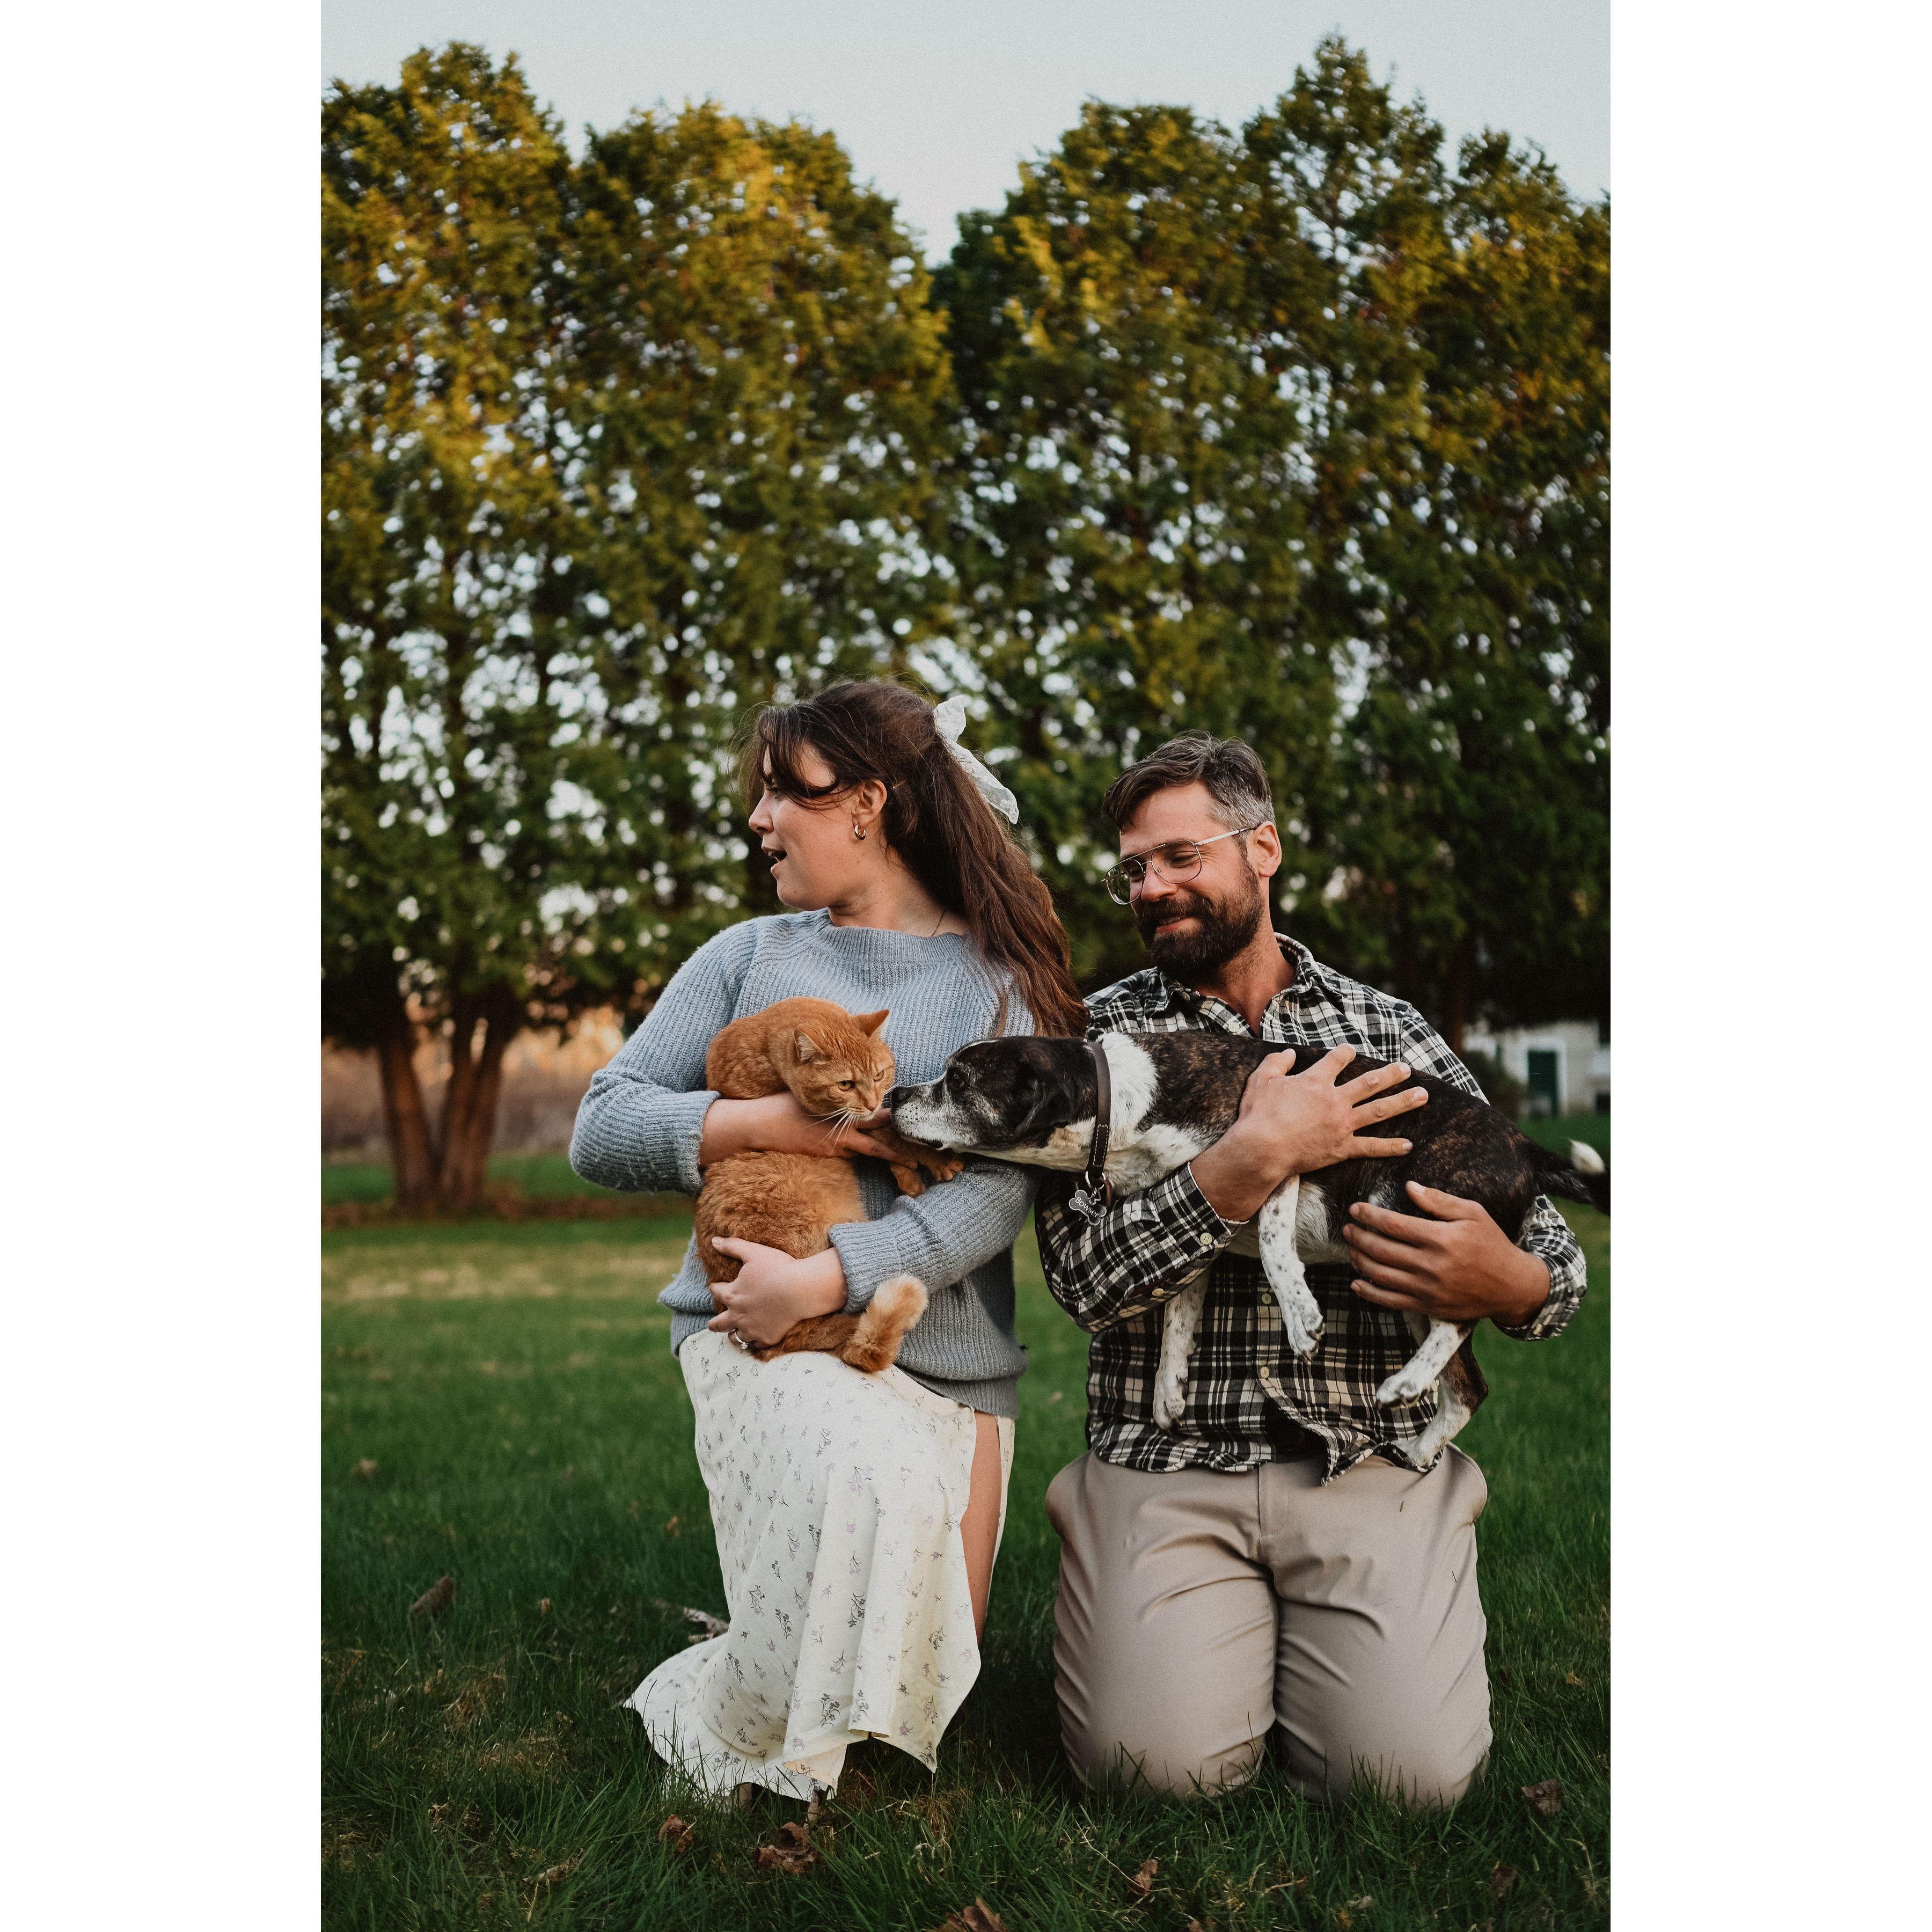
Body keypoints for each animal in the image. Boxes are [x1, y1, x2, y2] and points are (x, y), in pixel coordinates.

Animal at [694, 997, 962, 1373]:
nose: (871, 1102)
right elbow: (893, 1133)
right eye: (845, 1085)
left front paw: (909, 1176)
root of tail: (770, 1347)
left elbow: (893, 1133)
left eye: (879, 1075)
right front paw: (932, 1160)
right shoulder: (848, 1124)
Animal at [888, 1031, 1609, 1465]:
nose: (895, 1094)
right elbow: (1177, 1317)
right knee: (1470, 1386)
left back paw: (1405, 1381)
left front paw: (1300, 1317)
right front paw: (1168, 1394)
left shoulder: (1279, 1152)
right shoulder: (1198, 1216)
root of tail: (1527, 1148)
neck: (1123, 1104)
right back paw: (1418, 1440)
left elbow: (1269, 1243)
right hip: (1403, 1273)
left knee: (1459, 1324)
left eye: (958, 1079)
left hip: (1407, 1220)